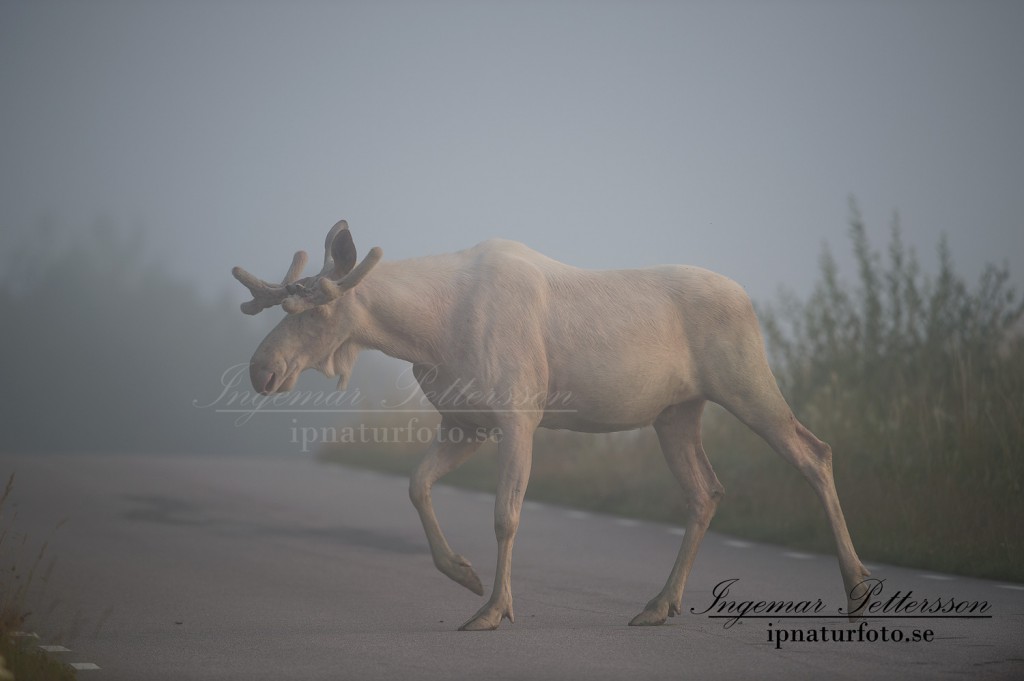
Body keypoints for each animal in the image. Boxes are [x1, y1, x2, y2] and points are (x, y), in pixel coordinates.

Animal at [235, 220, 868, 630]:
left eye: (317, 311)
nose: (261, 369)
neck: (426, 332)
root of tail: (749, 301)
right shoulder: (466, 421)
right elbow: (416, 486)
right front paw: (463, 574)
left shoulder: (518, 415)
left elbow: (506, 516)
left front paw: (493, 608)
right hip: (676, 414)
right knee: (706, 491)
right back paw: (659, 604)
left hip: (745, 381)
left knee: (815, 452)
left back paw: (858, 586)